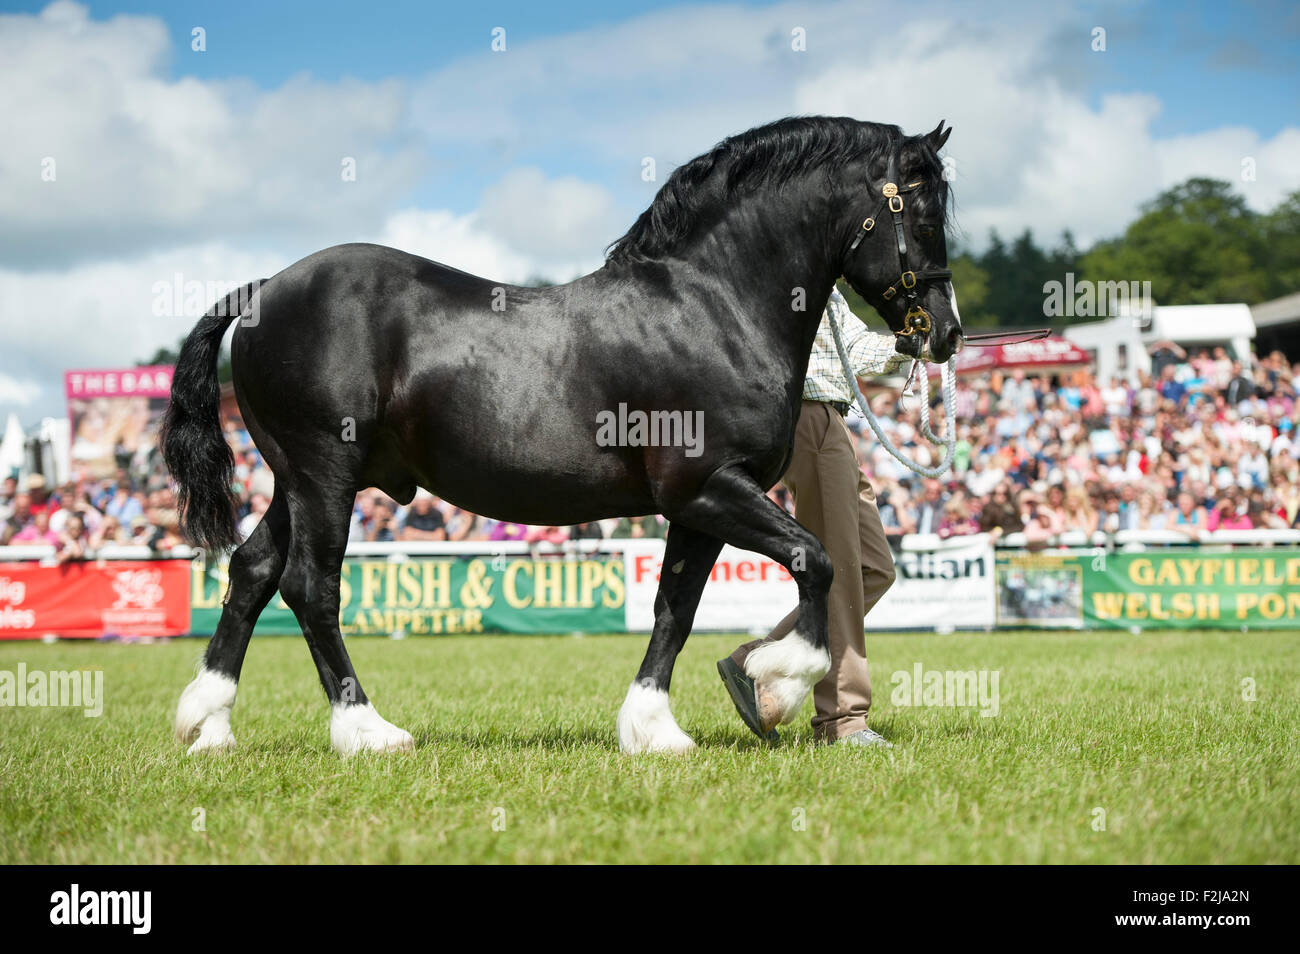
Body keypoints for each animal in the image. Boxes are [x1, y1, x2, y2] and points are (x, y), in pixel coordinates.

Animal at [162, 115, 961, 753]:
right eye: (923, 217)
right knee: (311, 586)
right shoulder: (707, 488)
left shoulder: (697, 506)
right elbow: (814, 561)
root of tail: (263, 291)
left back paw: (209, 726)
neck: (713, 305)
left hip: (297, 481)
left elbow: (675, 608)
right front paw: (774, 686)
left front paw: (654, 728)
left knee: (252, 571)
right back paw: (367, 731)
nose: (947, 335)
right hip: (324, 473)